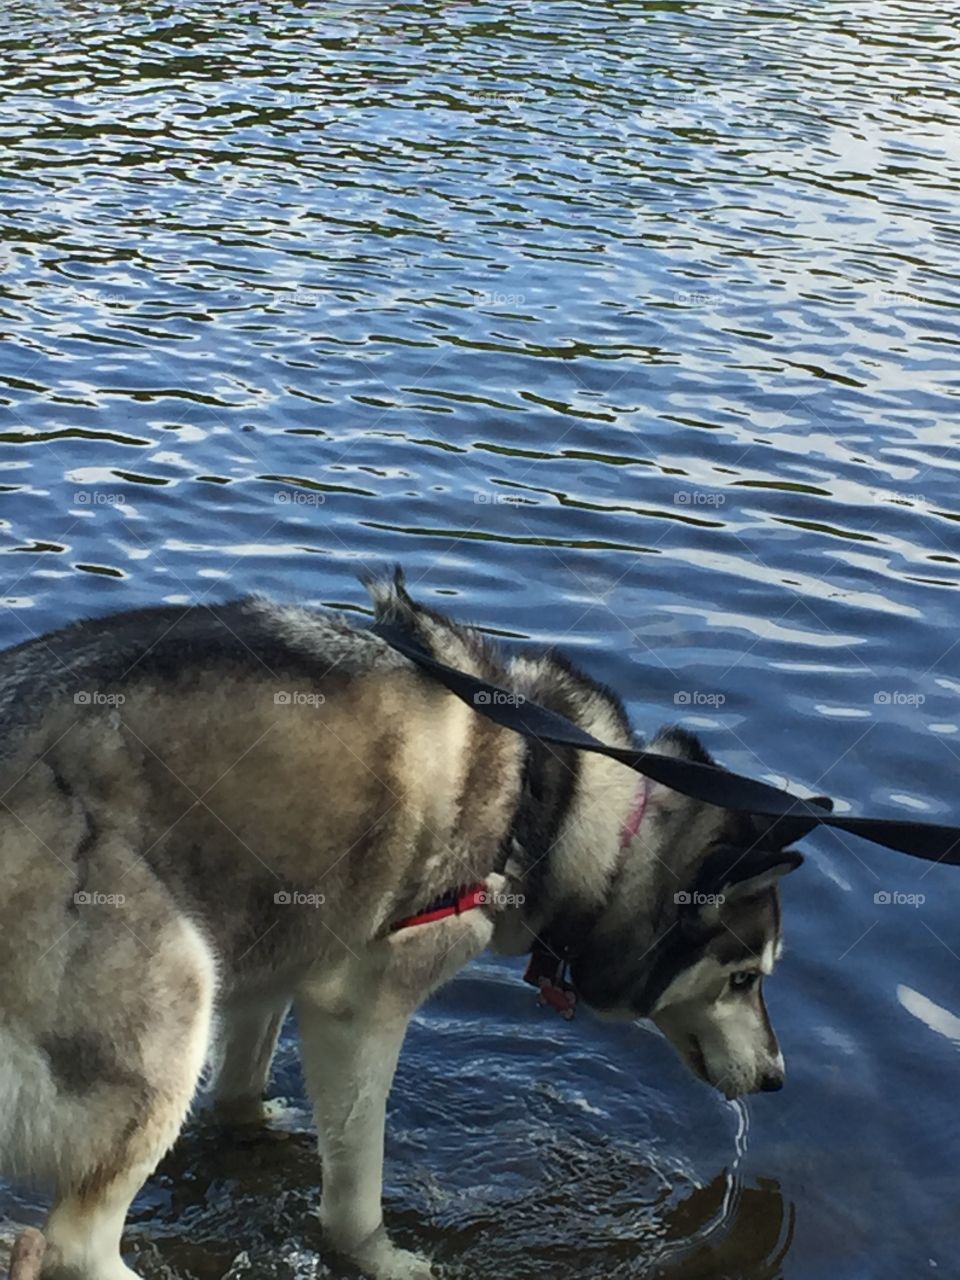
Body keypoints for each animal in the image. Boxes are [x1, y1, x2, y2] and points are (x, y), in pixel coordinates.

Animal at [0, 576, 819, 1280]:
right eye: (744, 979)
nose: (778, 1079)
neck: (558, 803)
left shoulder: (276, 970)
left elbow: (240, 1092)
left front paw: (256, 1128)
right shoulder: (360, 1008)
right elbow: (355, 1192)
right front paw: (382, 1257)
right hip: (175, 1004)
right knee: (75, 1245)